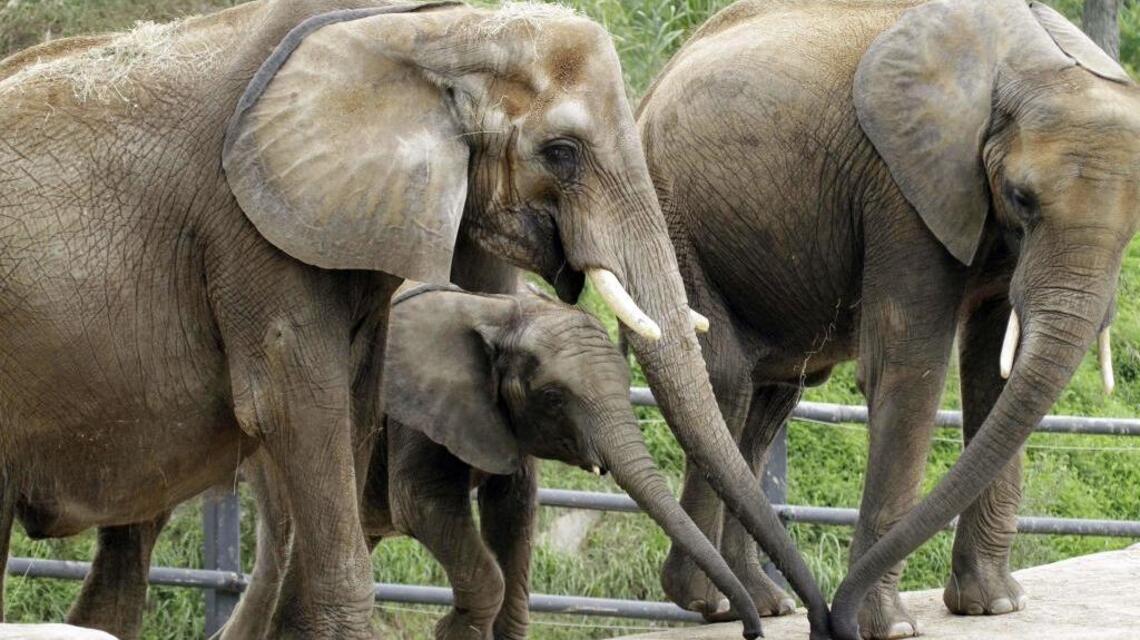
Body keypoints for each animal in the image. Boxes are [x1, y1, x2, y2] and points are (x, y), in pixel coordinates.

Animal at [0, 0, 832, 636]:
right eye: (561, 153)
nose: (769, 618)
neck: (425, 32)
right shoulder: (246, 230)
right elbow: (294, 410)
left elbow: (351, 412)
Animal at [637, 0, 1140, 638]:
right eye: (1022, 198)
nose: (832, 622)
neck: (1027, 60)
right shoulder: (902, 189)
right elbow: (908, 368)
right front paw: (892, 628)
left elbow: (994, 373)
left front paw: (995, 607)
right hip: (666, 209)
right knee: (724, 379)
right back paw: (715, 603)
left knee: (769, 397)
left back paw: (764, 601)